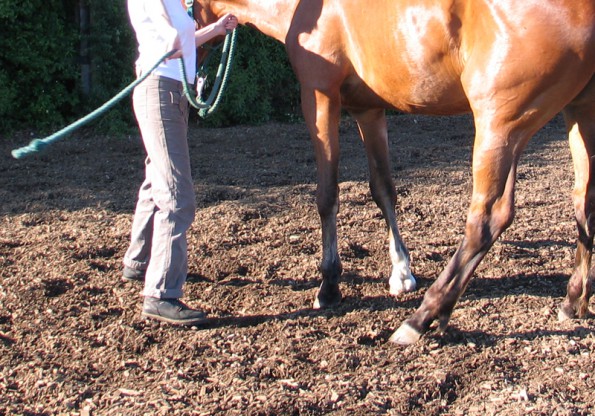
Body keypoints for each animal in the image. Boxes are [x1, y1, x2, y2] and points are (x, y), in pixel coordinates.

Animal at [192, 0, 595, 344]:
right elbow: (383, 188)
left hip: (501, 125)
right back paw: (572, 301)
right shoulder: (368, 110)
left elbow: (327, 195)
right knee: (583, 204)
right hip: (575, 114)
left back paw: (422, 317)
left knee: (488, 219)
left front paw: (329, 285)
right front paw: (401, 271)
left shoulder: (319, 97)